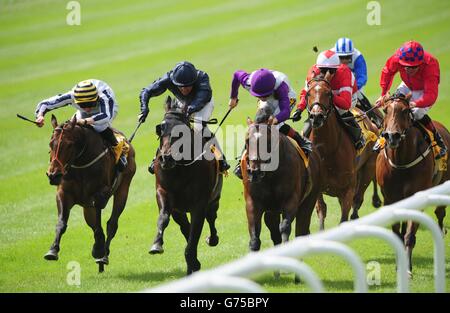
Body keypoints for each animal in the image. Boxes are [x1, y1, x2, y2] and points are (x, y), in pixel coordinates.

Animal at [44, 114, 136, 270]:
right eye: (51, 144)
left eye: (69, 145)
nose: (53, 175)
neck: (81, 164)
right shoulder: (64, 193)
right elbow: (62, 223)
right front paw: (52, 250)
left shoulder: (100, 194)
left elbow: (99, 224)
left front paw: (99, 249)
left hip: (123, 188)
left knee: (112, 224)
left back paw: (103, 255)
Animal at [149, 95, 223, 272]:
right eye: (160, 128)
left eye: (181, 131)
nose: (166, 158)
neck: (179, 169)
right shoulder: (165, 194)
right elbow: (164, 218)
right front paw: (156, 244)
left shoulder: (200, 203)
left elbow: (194, 234)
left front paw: (193, 261)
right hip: (180, 210)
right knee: (184, 227)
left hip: (214, 198)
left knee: (211, 217)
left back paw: (212, 239)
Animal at [241, 103, 322, 252]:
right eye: (247, 140)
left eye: (267, 141)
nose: (254, 172)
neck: (270, 175)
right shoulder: (252, 202)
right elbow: (254, 237)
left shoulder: (291, 199)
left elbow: (284, 227)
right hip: (272, 211)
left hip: (309, 199)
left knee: (301, 228)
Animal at [306, 73, 380, 229]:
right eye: (308, 93)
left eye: (328, 93)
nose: (316, 116)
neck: (327, 151)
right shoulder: (318, 189)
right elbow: (321, 211)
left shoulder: (347, 191)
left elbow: (345, 217)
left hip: (368, 169)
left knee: (358, 200)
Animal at [374, 94, 448, 274]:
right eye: (385, 110)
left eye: (406, 111)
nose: (392, 136)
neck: (401, 161)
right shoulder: (390, 198)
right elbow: (396, 232)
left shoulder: (417, 197)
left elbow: (409, 234)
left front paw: (407, 268)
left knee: (440, 213)